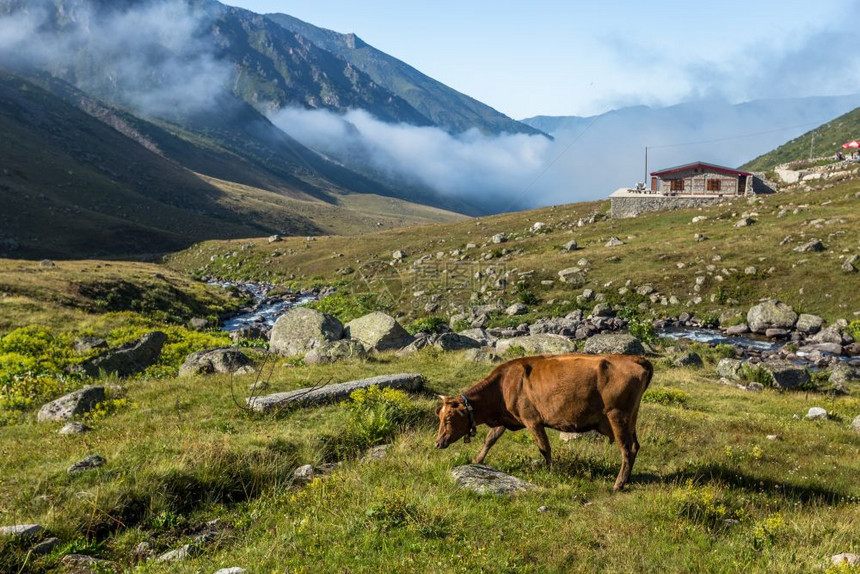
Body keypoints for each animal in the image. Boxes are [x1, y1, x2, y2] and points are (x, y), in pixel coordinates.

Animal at [436, 354, 652, 492]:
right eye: (439, 416)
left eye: (448, 418)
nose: (438, 443)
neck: (504, 384)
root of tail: (635, 358)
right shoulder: (507, 418)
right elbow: (490, 439)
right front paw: (477, 460)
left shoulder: (532, 419)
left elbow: (544, 447)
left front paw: (550, 471)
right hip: (630, 418)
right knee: (635, 446)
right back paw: (627, 479)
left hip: (617, 416)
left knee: (627, 449)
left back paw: (618, 484)